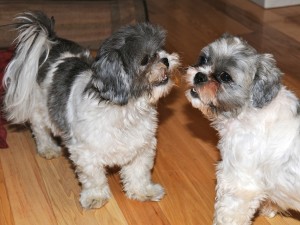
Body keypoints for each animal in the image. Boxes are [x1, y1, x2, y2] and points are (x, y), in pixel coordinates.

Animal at [4, 11, 180, 209]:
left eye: (161, 49)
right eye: (145, 60)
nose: (165, 59)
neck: (126, 112)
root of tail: (50, 41)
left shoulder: (142, 148)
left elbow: (138, 173)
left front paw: (143, 191)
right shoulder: (86, 153)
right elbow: (94, 178)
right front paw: (95, 197)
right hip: (39, 109)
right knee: (40, 130)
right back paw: (47, 148)